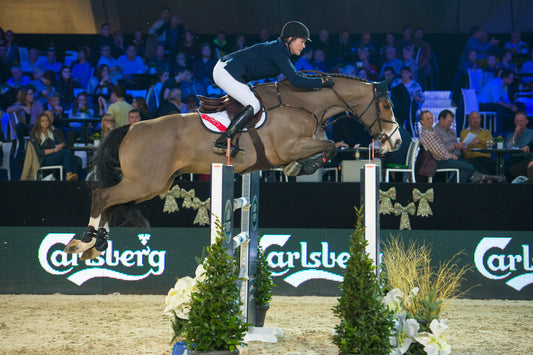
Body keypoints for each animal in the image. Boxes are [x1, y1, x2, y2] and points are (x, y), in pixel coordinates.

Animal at [64, 73, 402, 260]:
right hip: (146, 182)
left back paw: (96, 244)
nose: (396, 142)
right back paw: (83, 242)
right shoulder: (289, 147)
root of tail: (131, 128)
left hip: (153, 185)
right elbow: (328, 148)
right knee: (103, 197)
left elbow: (327, 146)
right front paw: (298, 168)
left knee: (110, 202)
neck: (303, 104)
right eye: (386, 105)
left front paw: (299, 168)